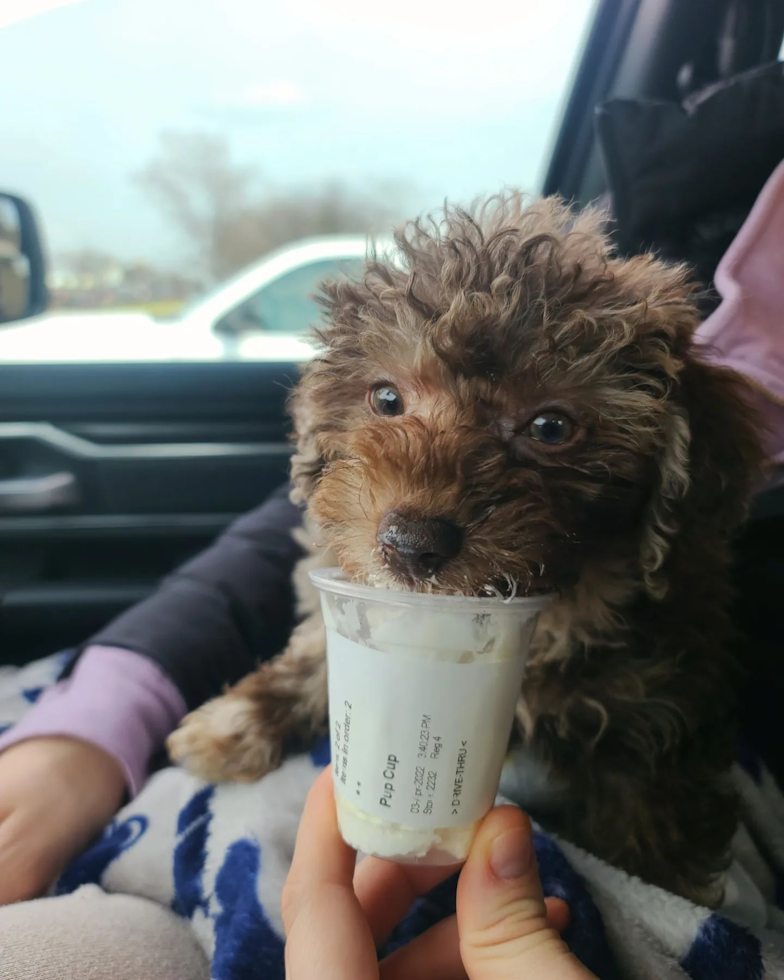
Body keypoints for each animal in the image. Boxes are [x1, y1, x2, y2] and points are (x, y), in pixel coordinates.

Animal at [168, 195, 764, 908]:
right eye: (386, 398)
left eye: (551, 427)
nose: (409, 544)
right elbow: (317, 650)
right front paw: (232, 723)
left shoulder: (658, 716)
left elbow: (654, 832)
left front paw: (665, 890)